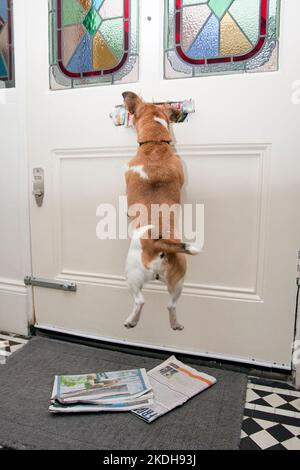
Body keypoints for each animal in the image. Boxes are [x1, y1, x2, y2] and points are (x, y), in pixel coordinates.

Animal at [122, 92, 199, 330]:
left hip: (132, 274)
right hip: (179, 280)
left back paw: (131, 321)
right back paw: (175, 325)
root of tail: (160, 242)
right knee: (171, 305)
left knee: (140, 300)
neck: (155, 144)